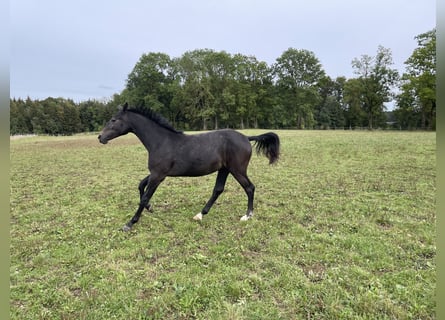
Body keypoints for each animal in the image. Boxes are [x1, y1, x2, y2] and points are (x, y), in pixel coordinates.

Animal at [97, 104, 280, 231]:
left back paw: (247, 215)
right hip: (224, 169)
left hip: (237, 169)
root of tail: (246, 138)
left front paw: (130, 223)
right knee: (218, 190)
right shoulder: (157, 173)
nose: (100, 137)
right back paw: (200, 215)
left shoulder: (158, 175)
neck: (161, 141)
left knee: (249, 188)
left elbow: (144, 196)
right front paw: (150, 208)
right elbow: (141, 185)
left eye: (114, 120)